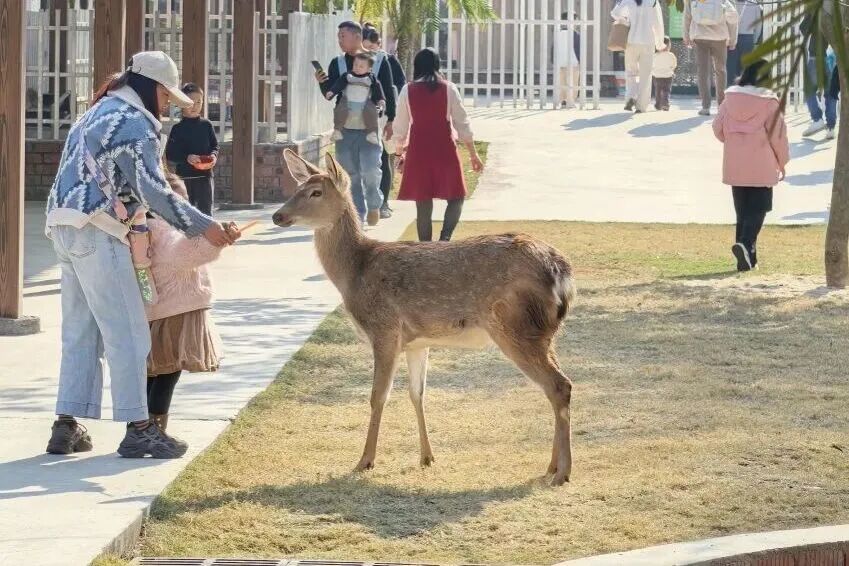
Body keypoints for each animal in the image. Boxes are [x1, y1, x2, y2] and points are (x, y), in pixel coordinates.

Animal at [272, 149, 577, 486]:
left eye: (315, 192)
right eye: (296, 188)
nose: (277, 216)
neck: (354, 272)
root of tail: (561, 272)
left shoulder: (385, 329)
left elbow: (378, 396)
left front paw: (364, 461)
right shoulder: (417, 341)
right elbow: (417, 393)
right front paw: (427, 457)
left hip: (515, 326)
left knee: (560, 385)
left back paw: (563, 472)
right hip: (544, 331)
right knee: (554, 386)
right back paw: (550, 467)